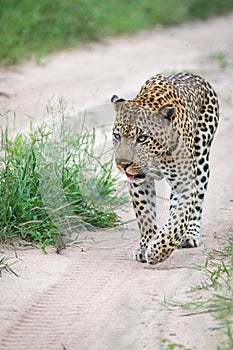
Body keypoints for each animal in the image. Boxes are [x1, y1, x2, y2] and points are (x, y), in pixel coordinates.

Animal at [111, 72, 218, 264]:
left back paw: (190, 234)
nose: (123, 164)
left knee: (196, 201)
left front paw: (158, 251)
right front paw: (145, 246)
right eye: (117, 136)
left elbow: (179, 220)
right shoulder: (139, 183)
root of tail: (194, 75)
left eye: (142, 138)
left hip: (201, 160)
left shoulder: (185, 182)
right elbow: (145, 215)